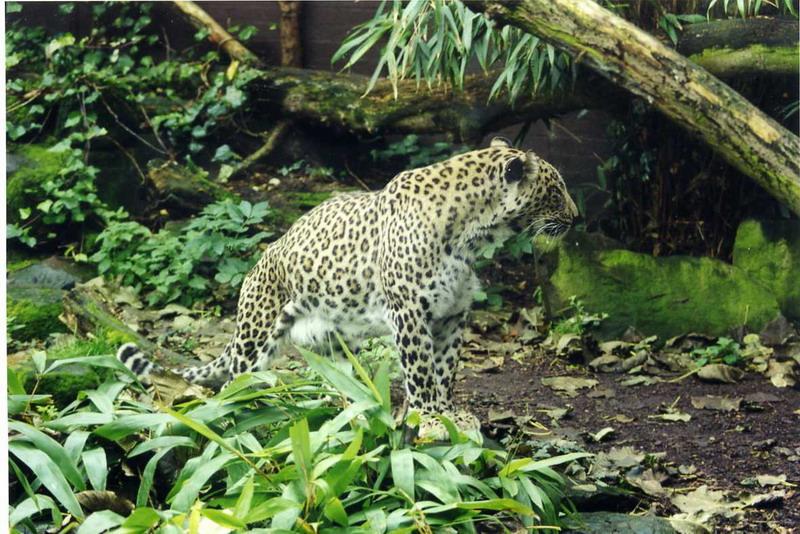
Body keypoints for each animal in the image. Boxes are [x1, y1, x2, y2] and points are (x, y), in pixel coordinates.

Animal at [118, 136, 578, 439]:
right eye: (557, 189)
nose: (578, 217)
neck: (472, 236)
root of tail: (259, 264)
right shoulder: (409, 312)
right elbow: (422, 372)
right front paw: (431, 418)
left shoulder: (451, 314)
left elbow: (445, 369)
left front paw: (450, 415)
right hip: (256, 334)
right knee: (235, 379)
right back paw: (237, 415)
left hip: (335, 344)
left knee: (338, 380)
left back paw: (354, 413)